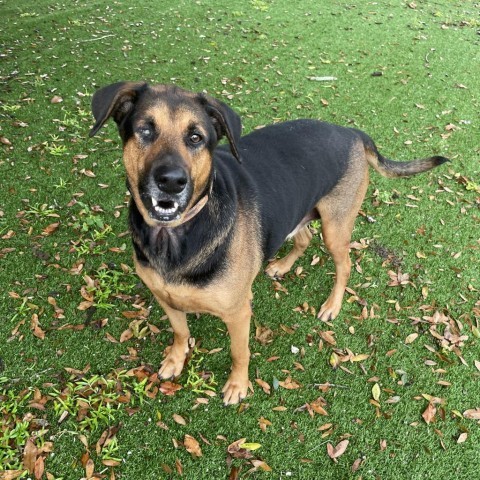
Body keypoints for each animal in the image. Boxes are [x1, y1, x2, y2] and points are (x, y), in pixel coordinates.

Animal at [88, 83, 448, 404]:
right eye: (145, 130)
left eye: (196, 138)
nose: (171, 182)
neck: (176, 236)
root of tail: (351, 132)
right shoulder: (165, 298)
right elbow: (180, 332)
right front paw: (176, 359)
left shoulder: (237, 312)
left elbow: (239, 351)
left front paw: (238, 385)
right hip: (299, 212)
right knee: (303, 238)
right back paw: (281, 266)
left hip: (335, 225)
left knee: (344, 264)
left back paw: (332, 305)